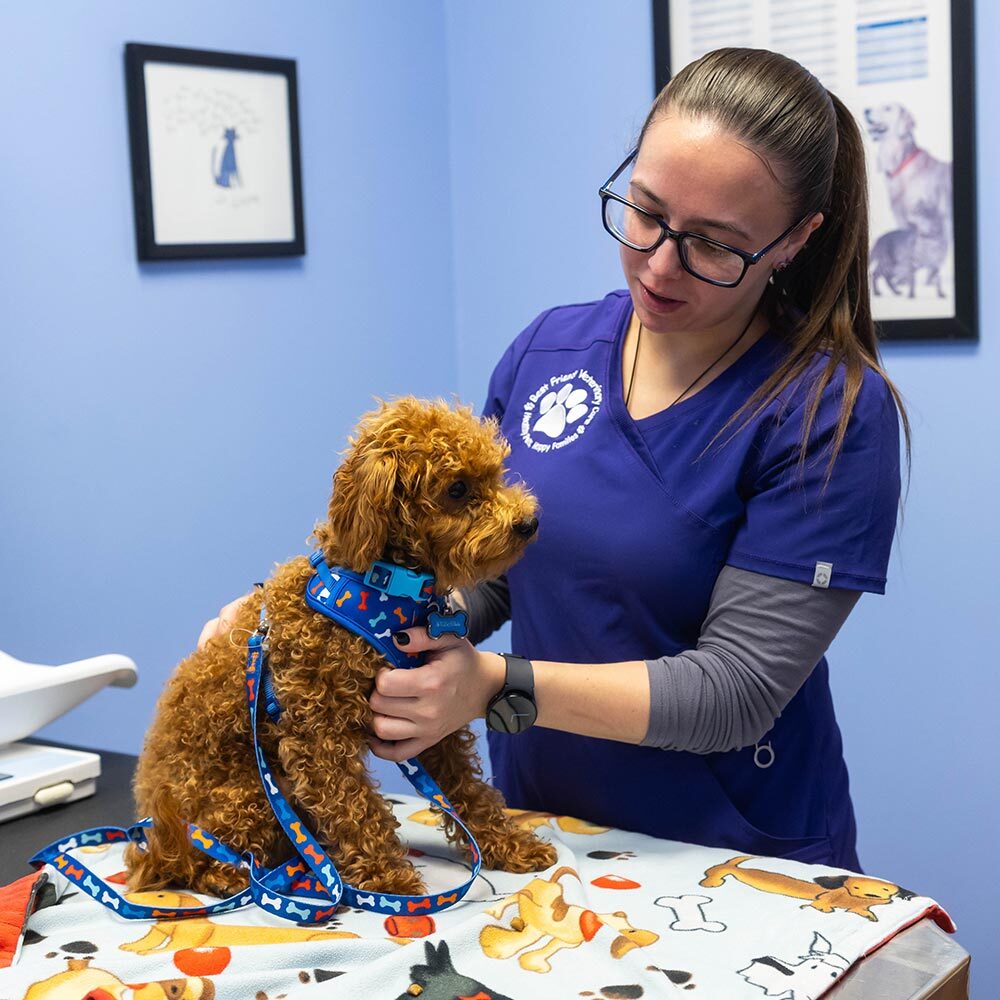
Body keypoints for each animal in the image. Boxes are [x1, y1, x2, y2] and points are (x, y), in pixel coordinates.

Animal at [127, 396, 556, 900]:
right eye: (457, 488)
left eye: (495, 474)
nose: (529, 523)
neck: (383, 586)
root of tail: (154, 830)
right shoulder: (318, 731)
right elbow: (354, 808)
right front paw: (389, 879)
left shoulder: (433, 719)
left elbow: (467, 789)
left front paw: (510, 844)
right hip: (245, 796)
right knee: (196, 861)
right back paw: (235, 875)